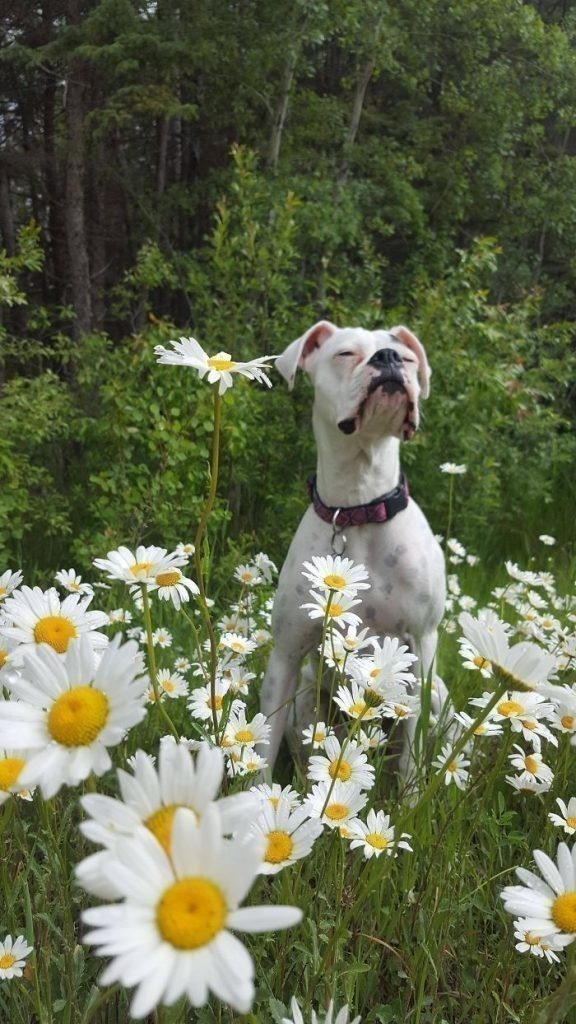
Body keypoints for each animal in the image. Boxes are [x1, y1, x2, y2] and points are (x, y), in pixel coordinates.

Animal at [259, 319, 444, 770]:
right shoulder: (286, 655)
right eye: (345, 354)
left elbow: (411, 762)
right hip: (307, 697)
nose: (389, 358)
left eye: (408, 357)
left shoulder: (422, 647)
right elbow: (261, 752)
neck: (359, 508)